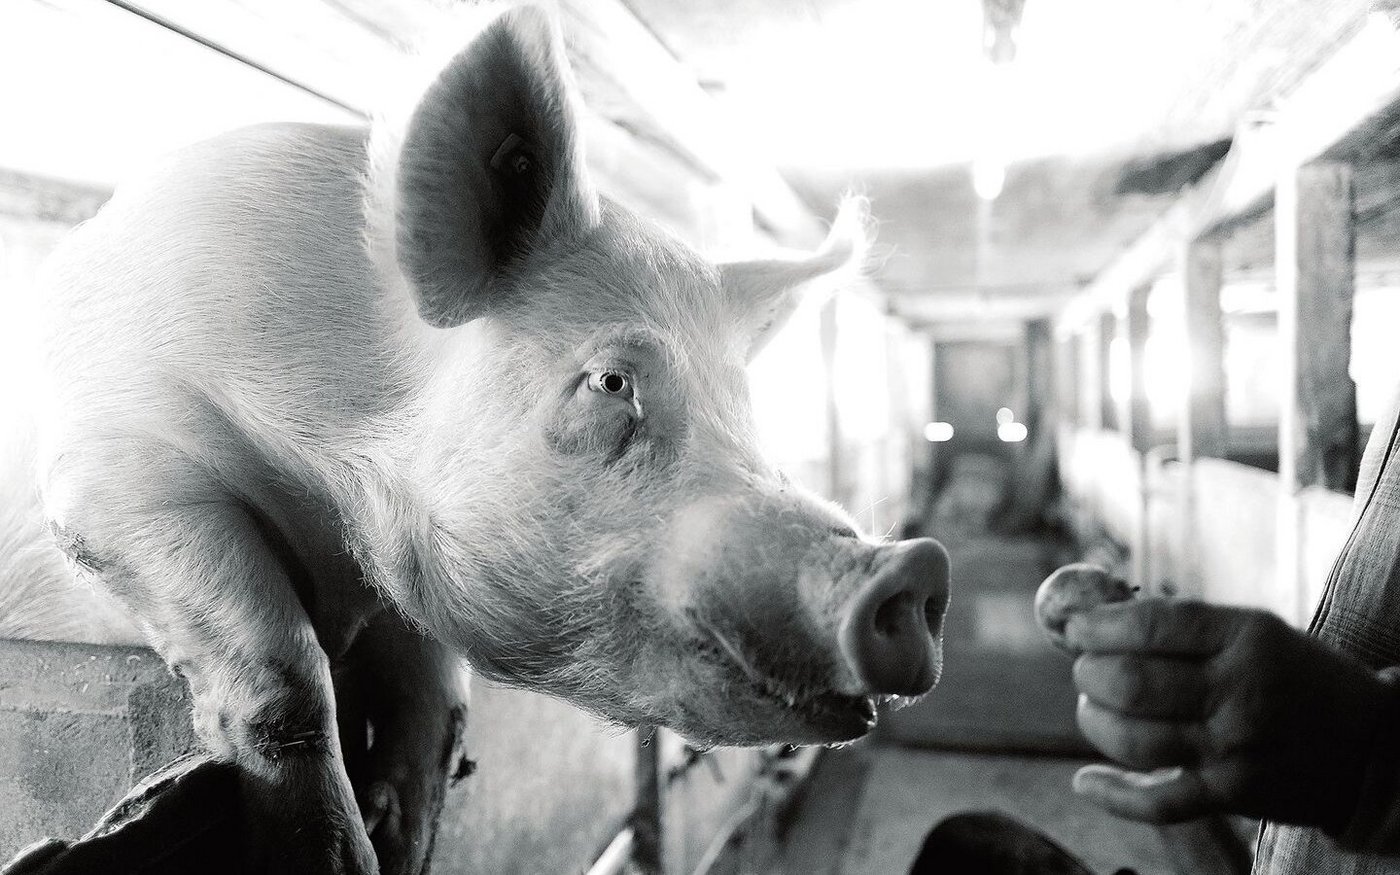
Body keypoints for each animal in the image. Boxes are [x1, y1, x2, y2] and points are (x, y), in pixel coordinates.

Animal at [6, 5, 950, 873]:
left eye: (744, 405)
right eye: (611, 382)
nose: (913, 564)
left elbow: (438, 699)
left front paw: (404, 833)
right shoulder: (108, 466)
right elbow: (284, 676)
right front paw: (342, 858)